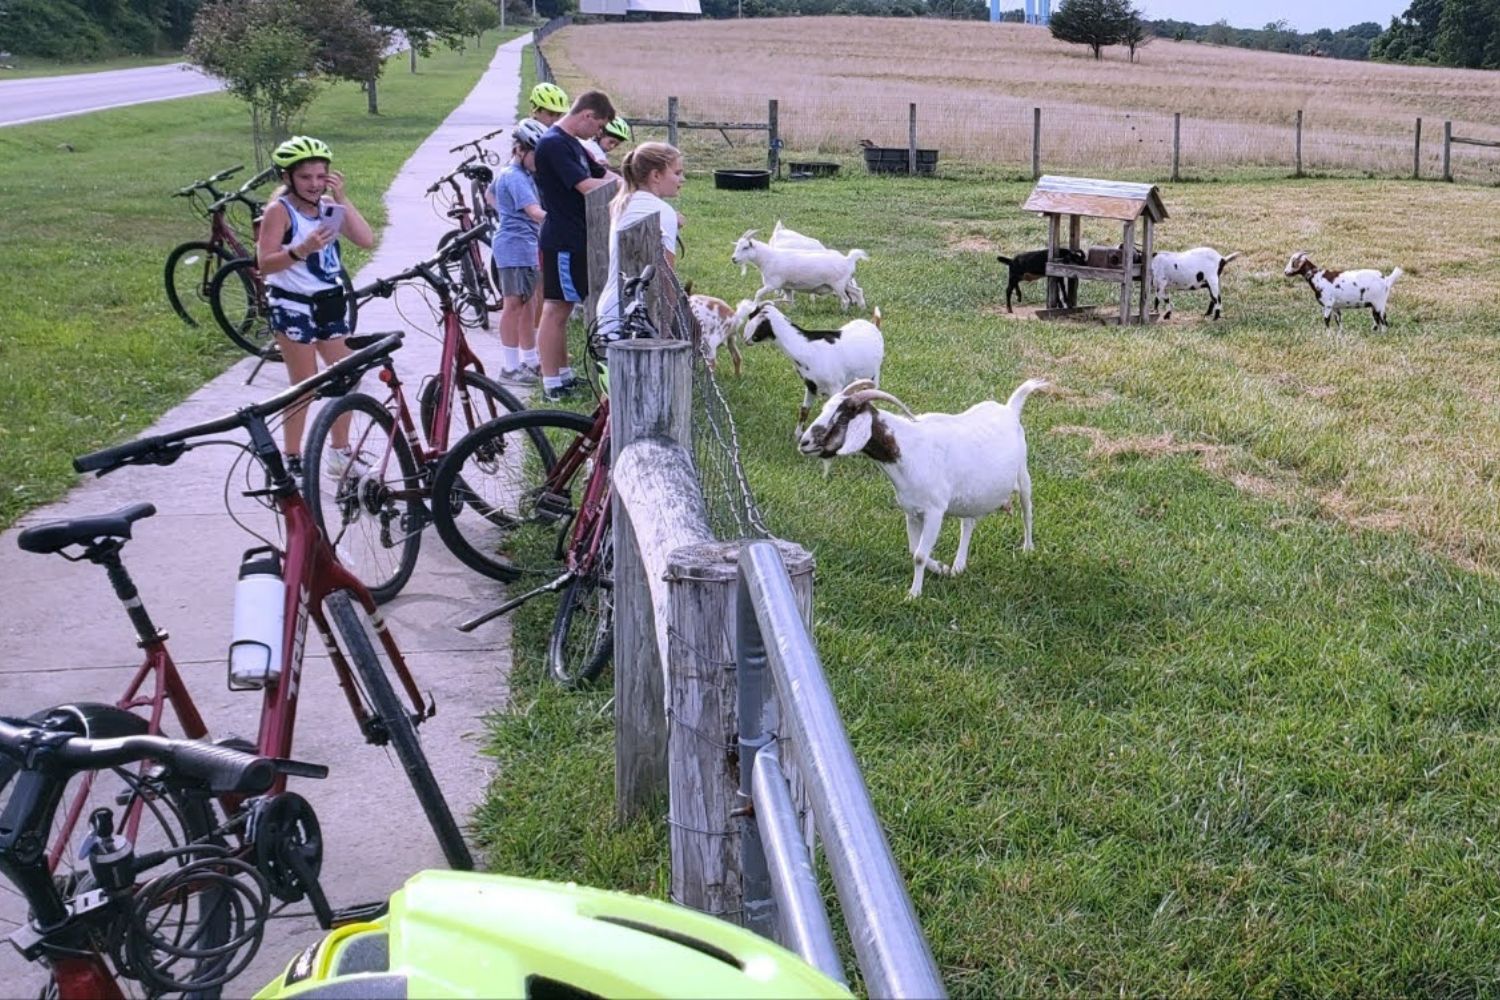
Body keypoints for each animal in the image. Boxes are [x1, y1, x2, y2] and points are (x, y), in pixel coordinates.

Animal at [729, 229, 870, 310]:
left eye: (745, 247)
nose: (733, 259)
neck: (768, 258)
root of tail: (849, 259)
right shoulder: (786, 286)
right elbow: (789, 300)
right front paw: (792, 311)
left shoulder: (773, 284)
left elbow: (758, 293)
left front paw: (753, 306)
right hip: (845, 284)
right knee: (858, 291)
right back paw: (862, 308)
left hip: (838, 285)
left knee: (846, 299)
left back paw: (843, 312)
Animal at [744, 296, 882, 437]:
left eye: (752, 318)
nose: (746, 340)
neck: (808, 348)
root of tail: (874, 324)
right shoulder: (811, 385)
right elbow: (804, 410)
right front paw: (797, 435)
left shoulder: (835, 386)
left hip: (874, 374)